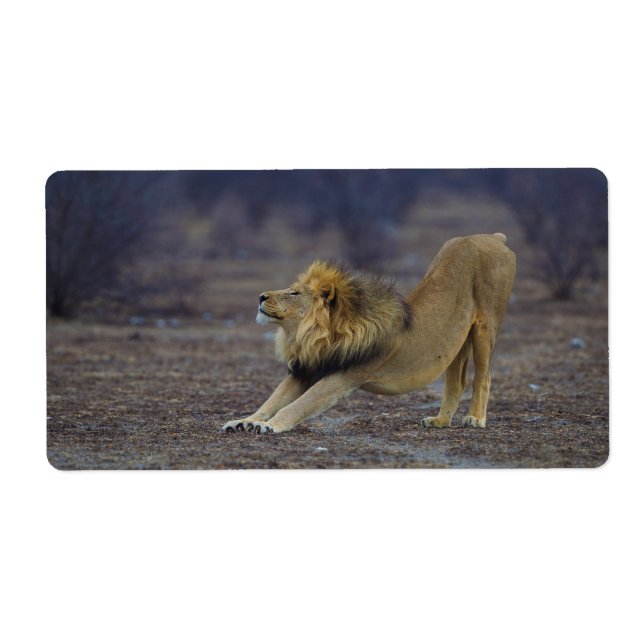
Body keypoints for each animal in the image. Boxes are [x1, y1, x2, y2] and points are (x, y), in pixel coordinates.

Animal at [222, 233, 516, 434]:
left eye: (293, 293)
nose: (260, 296)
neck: (311, 336)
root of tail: (492, 236)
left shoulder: (345, 375)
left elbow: (300, 404)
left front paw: (270, 426)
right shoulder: (306, 369)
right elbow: (272, 400)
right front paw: (244, 421)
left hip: (485, 327)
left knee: (483, 377)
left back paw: (475, 418)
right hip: (456, 340)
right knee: (457, 381)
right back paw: (440, 421)